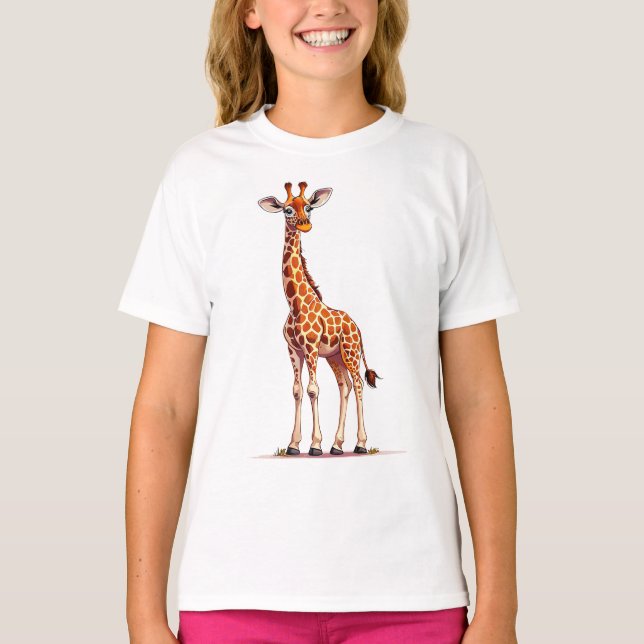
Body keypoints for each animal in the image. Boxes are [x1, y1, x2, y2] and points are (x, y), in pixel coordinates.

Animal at [258, 181, 382, 456]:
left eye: (309, 207)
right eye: (287, 210)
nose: (305, 224)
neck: (294, 304)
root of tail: (357, 327)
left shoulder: (311, 347)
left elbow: (313, 390)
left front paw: (314, 444)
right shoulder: (294, 349)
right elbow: (297, 391)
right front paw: (294, 445)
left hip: (350, 352)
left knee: (358, 384)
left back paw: (360, 444)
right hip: (335, 357)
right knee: (345, 387)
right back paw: (337, 445)